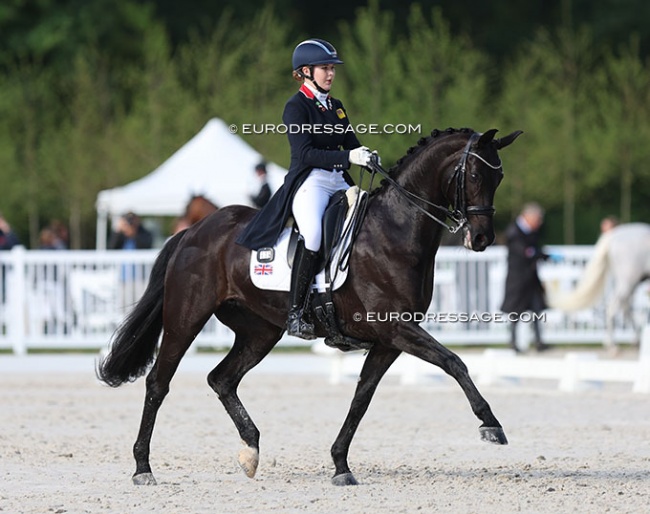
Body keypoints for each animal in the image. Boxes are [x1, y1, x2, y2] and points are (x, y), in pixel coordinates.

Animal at [96, 127, 520, 484]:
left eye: (499, 178)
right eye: (475, 176)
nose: (482, 239)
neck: (396, 230)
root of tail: (192, 232)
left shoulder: (389, 340)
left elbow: (362, 397)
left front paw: (340, 464)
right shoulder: (396, 328)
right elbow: (454, 362)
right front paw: (490, 424)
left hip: (260, 331)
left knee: (222, 379)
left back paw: (250, 450)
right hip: (186, 318)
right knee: (158, 382)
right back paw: (143, 468)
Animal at [548, 222, 648, 350]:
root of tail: (613, 236)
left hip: (633, 281)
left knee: (625, 308)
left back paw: (634, 340)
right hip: (629, 280)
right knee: (614, 308)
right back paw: (613, 345)